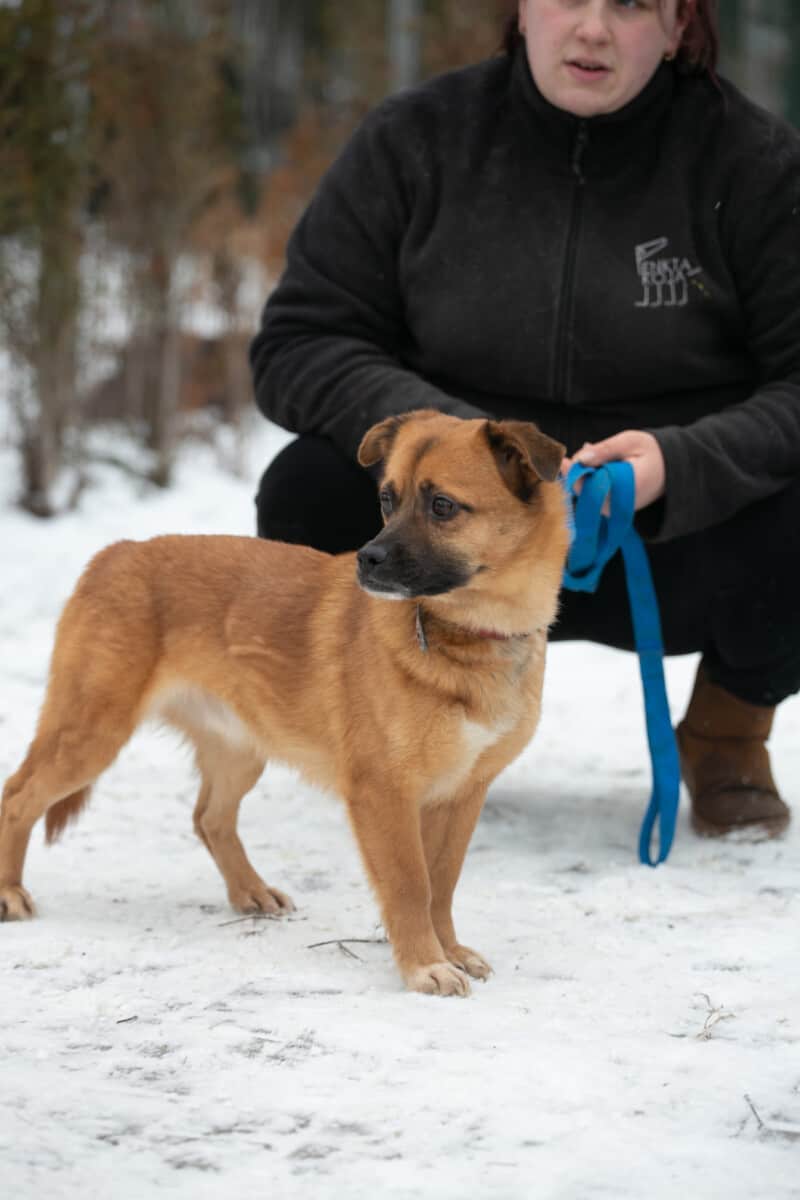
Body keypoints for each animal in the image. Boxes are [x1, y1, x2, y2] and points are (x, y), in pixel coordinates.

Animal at [0, 411, 569, 996]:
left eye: (442, 506)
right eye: (387, 498)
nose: (367, 560)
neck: (465, 637)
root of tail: (117, 552)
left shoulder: (462, 795)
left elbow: (443, 884)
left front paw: (449, 950)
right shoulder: (384, 794)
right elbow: (411, 885)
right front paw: (424, 964)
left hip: (240, 750)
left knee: (210, 819)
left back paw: (249, 891)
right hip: (91, 734)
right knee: (17, 795)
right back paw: (8, 893)